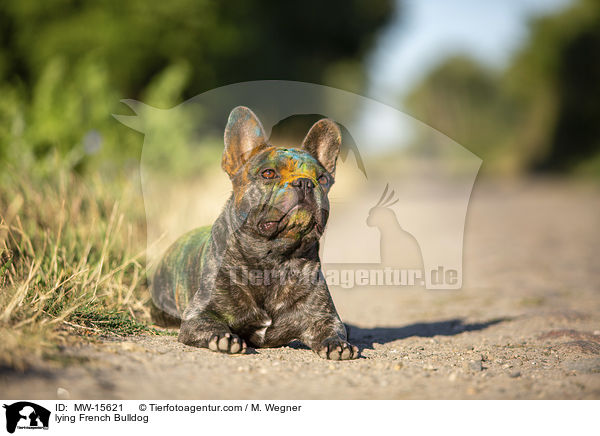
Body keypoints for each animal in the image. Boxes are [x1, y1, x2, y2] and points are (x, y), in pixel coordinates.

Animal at [152, 106, 358, 362]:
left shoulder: (324, 317)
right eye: (268, 174)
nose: (305, 183)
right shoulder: (197, 315)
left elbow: (332, 329)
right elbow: (212, 324)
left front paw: (337, 344)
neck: (273, 257)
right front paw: (224, 338)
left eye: (322, 179)